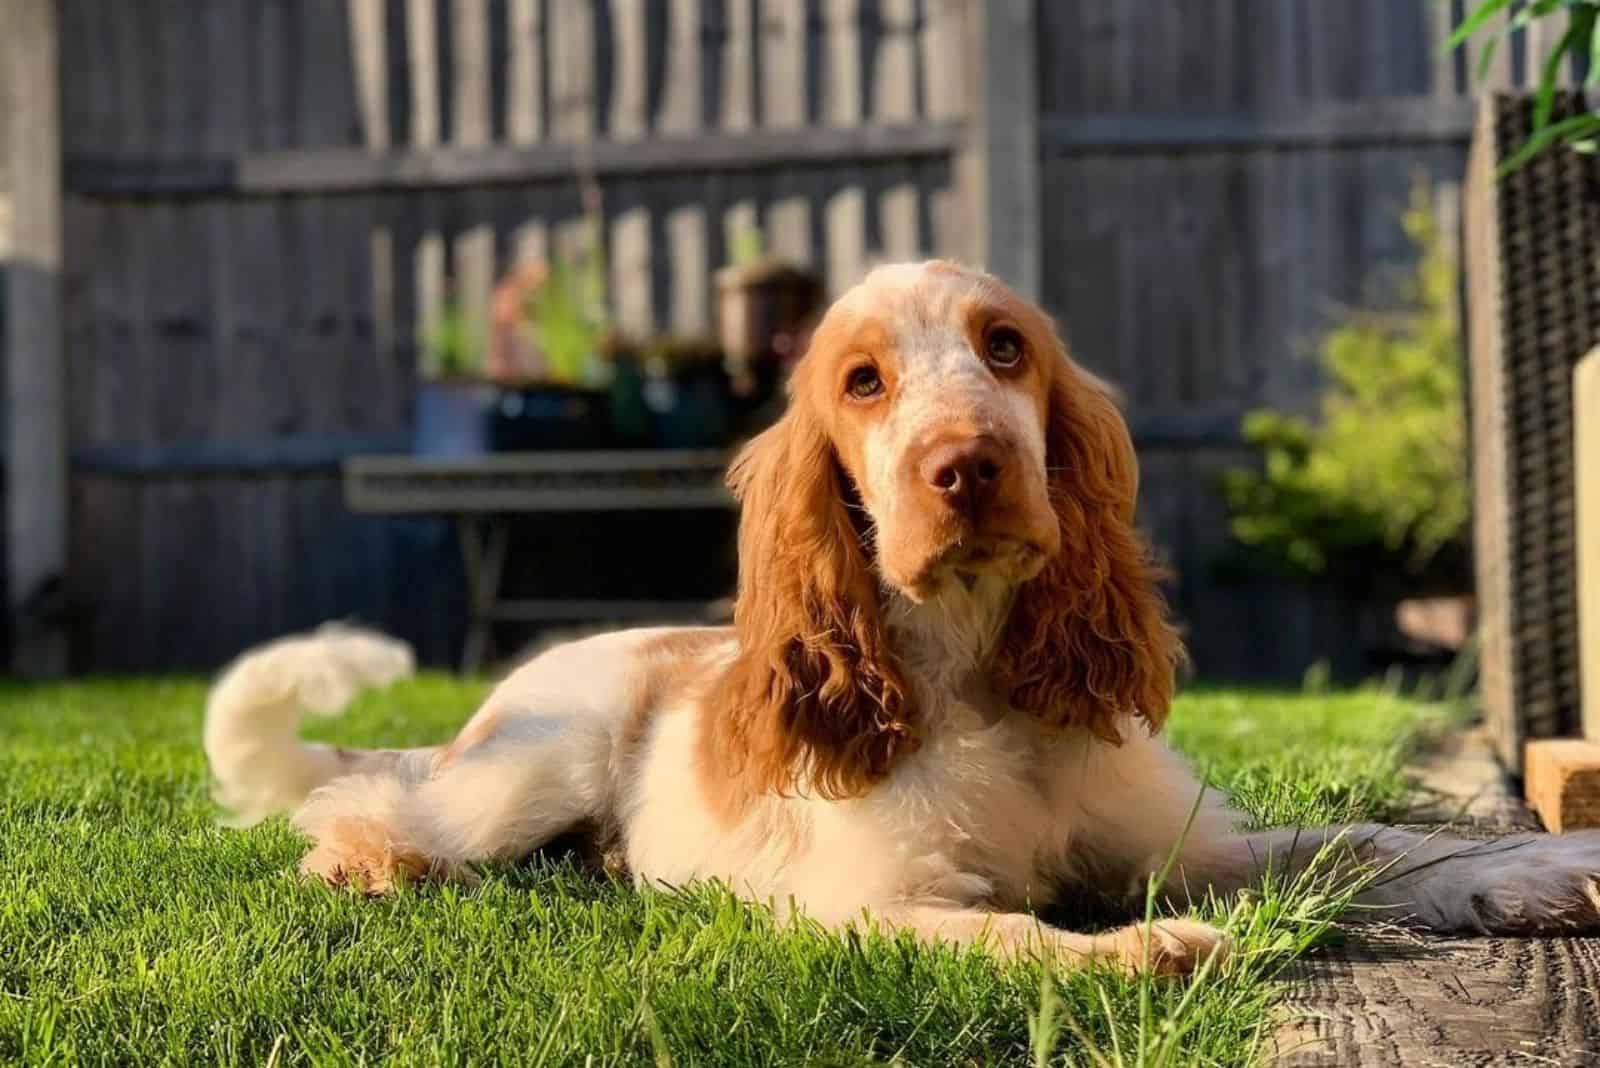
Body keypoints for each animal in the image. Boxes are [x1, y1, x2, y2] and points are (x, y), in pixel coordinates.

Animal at [206, 260, 1600, 978]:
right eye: (864, 382)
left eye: (1004, 349)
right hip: (529, 770)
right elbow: (1029, 936)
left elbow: (1365, 844)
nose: (966, 466)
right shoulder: (865, 903)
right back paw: (369, 864)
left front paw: (1539, 868)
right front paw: (1157, 948)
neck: (977, 667)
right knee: (374, 806)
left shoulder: (1182, 839)